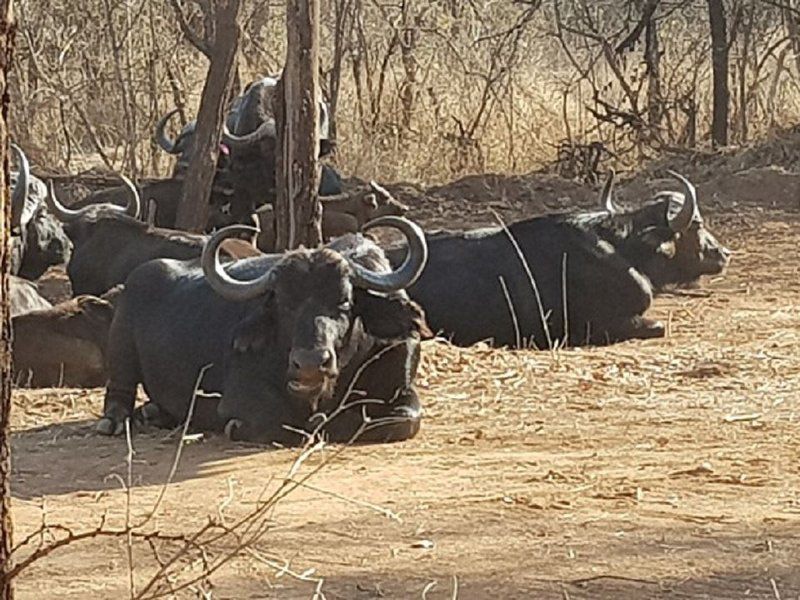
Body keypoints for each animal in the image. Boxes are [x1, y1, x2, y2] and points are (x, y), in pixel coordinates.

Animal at [98, 217, 432, 446]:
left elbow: (402, 420)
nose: (310, 363)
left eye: (345, 301)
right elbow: (278, 421)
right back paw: (116, 422)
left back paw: (154, 412)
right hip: (120, 351)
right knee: (119, 394)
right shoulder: (239, 397)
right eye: (282, 303)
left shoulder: (402, 388)